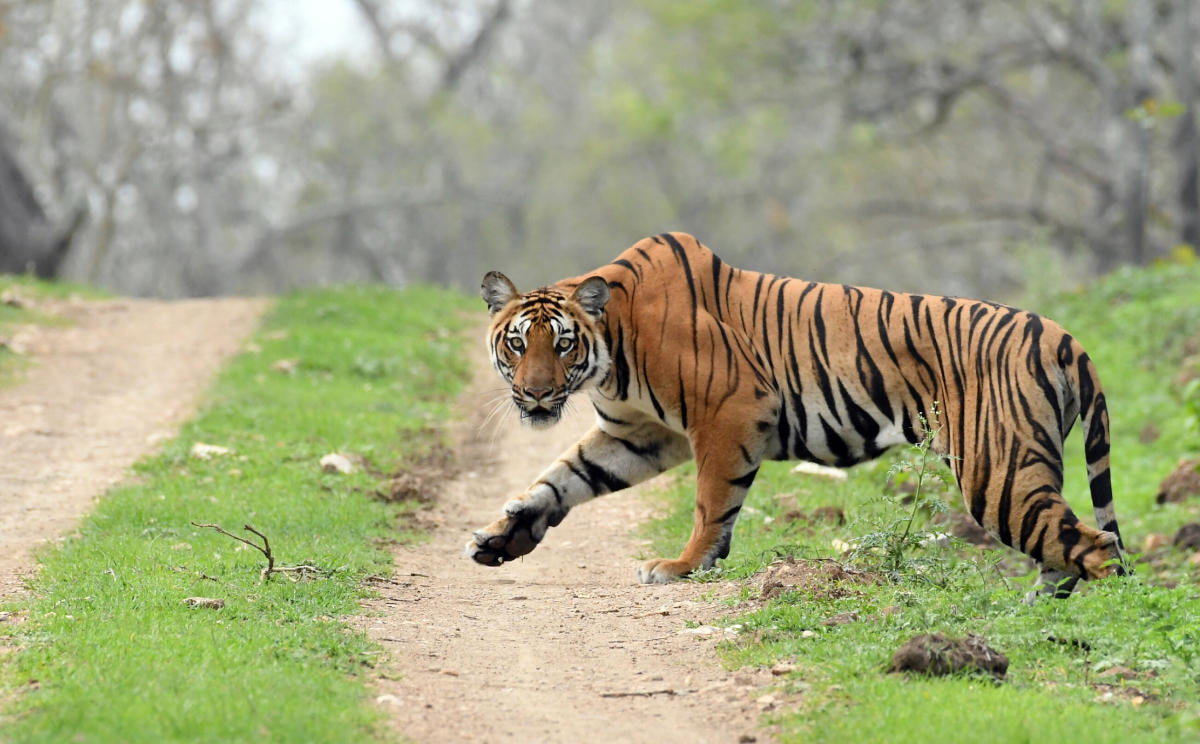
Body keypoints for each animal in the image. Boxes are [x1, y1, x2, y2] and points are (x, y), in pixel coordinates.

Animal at [465, 229, 1123, 595]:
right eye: (518, 344)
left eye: (562, 345)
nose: (537, 394)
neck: (610, 349)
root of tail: (1065, 337)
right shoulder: (639, 434)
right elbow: (560, 479)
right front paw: (501, 537)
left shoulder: (728, 410)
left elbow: (711, 503)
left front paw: (683, 566)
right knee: (1067, 550)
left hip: (997, 469)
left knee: (1097, 548)